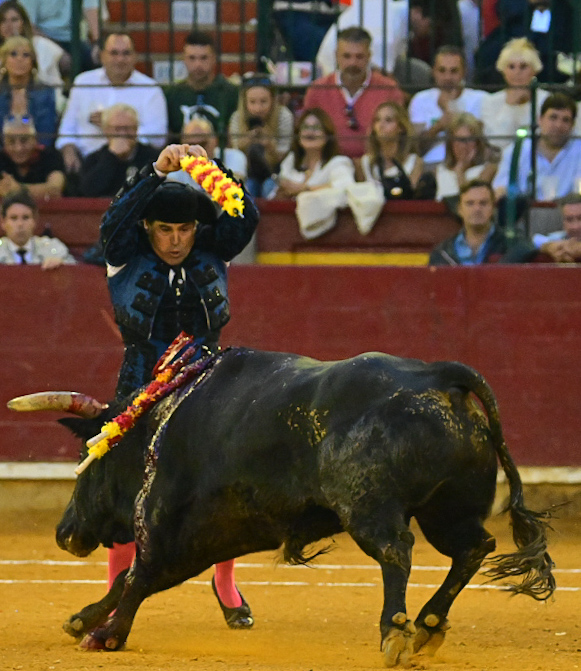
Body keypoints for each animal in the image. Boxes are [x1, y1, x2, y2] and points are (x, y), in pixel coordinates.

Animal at [8, 347, 555, 667]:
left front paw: (106, 634)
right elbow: (134, 576)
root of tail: (441, 376)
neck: (158, 427)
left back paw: (396, 631)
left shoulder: (172, 524)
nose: (65, 533)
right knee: (472, 547)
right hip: (449, 510)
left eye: (89, 462)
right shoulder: (216, 533)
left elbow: (139, 575)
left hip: (370, 508)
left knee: (397, 552)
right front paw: (83, 619)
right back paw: (427, 625)